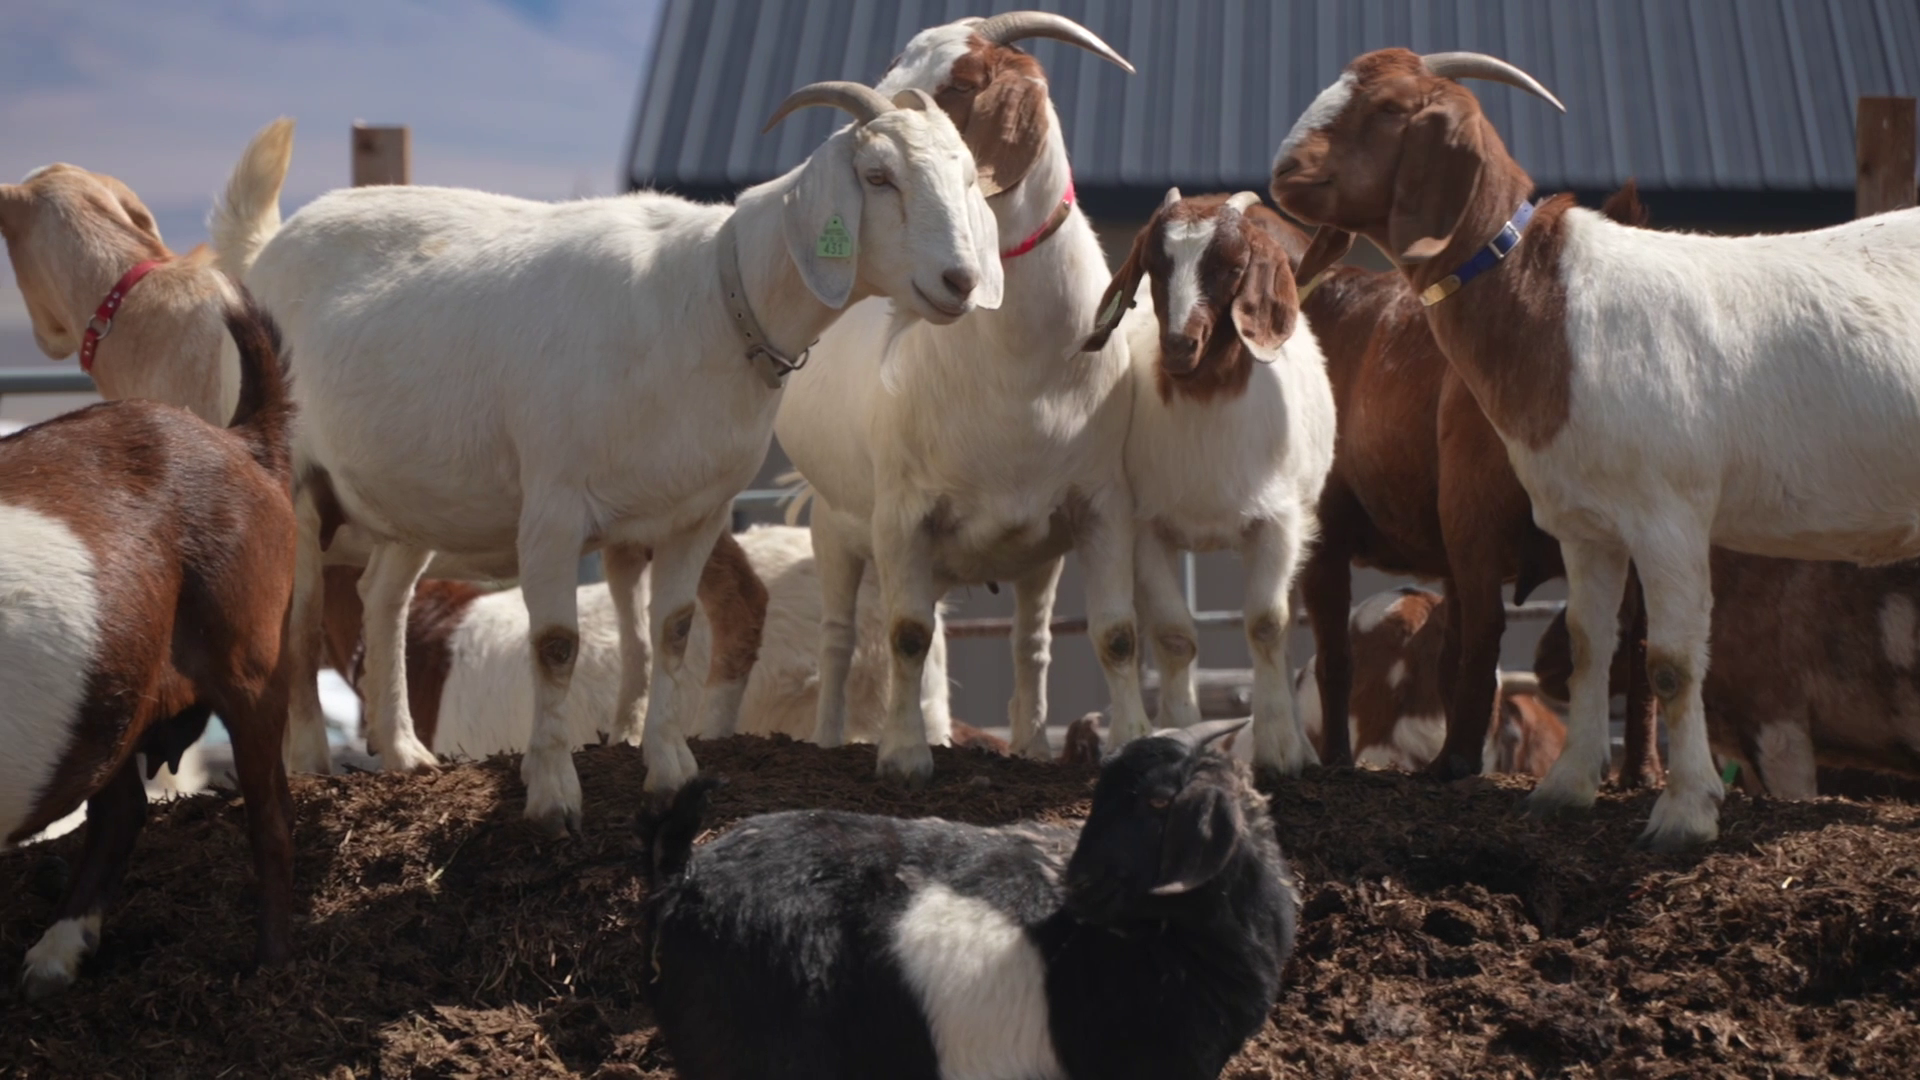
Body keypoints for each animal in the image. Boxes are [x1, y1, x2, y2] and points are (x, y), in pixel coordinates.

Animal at [0, 297, 295, 999]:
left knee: (268, 816)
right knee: (121, 809)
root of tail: (241, 441)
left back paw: (270, 967)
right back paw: (59, 954)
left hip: (252, 662)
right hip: (113, 690)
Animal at [212, 84, 1002, 834]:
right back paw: (311, 760)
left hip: (412, 492)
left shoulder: (694, 513)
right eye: (877, 176)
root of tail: (269, 247)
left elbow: (673, 632)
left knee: (383, 599)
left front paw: (670, 768)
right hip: (296, 480)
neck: (711, 296)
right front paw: (554, 795)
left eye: (966, 175)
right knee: (300, 623)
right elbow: (555, 646)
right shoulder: (554, 509)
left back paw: (404, 750)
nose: (960, 281)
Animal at [776, 12, 1148, 783]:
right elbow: (907, 634)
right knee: (838, 637)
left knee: (1030, 640)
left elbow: (1116, 634)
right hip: (836, 527)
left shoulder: (1101, 503)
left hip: (1033, 558)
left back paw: (1031, 743)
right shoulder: (902, 514)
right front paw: (903, 755)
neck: (1021, 376)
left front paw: (1134, 741)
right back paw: (828, 739)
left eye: (963, 84)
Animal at [1082, 189, 1334, 776]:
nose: (1179, 346)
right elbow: (1175, 635)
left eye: (1233, 268)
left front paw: (1279, 747)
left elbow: (1267, 625)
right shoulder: (1147, 527)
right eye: (1155, 265)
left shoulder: (1279, 523)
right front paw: (1177, 726)